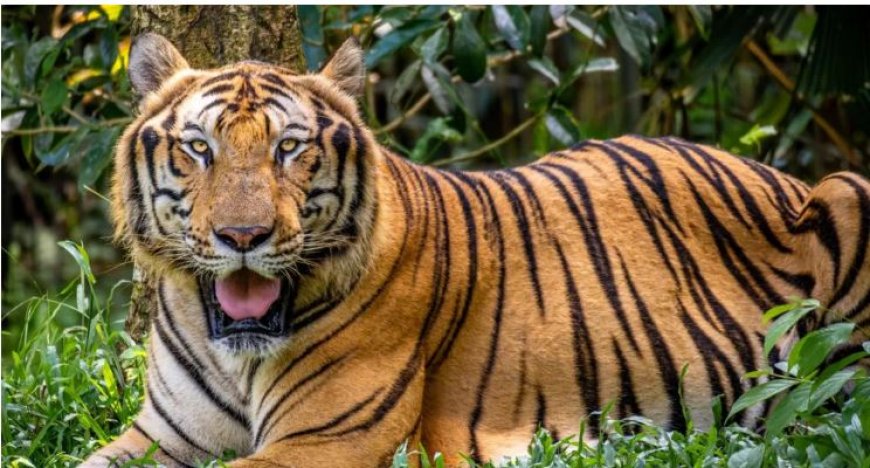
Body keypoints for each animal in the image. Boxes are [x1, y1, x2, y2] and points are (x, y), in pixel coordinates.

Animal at [83, 31, 870, 466]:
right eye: (199, 149)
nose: (243, 238)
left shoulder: (327, 441)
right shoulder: (159, 437)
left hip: (848, 192)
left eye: (289, 149)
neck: (230, 346)